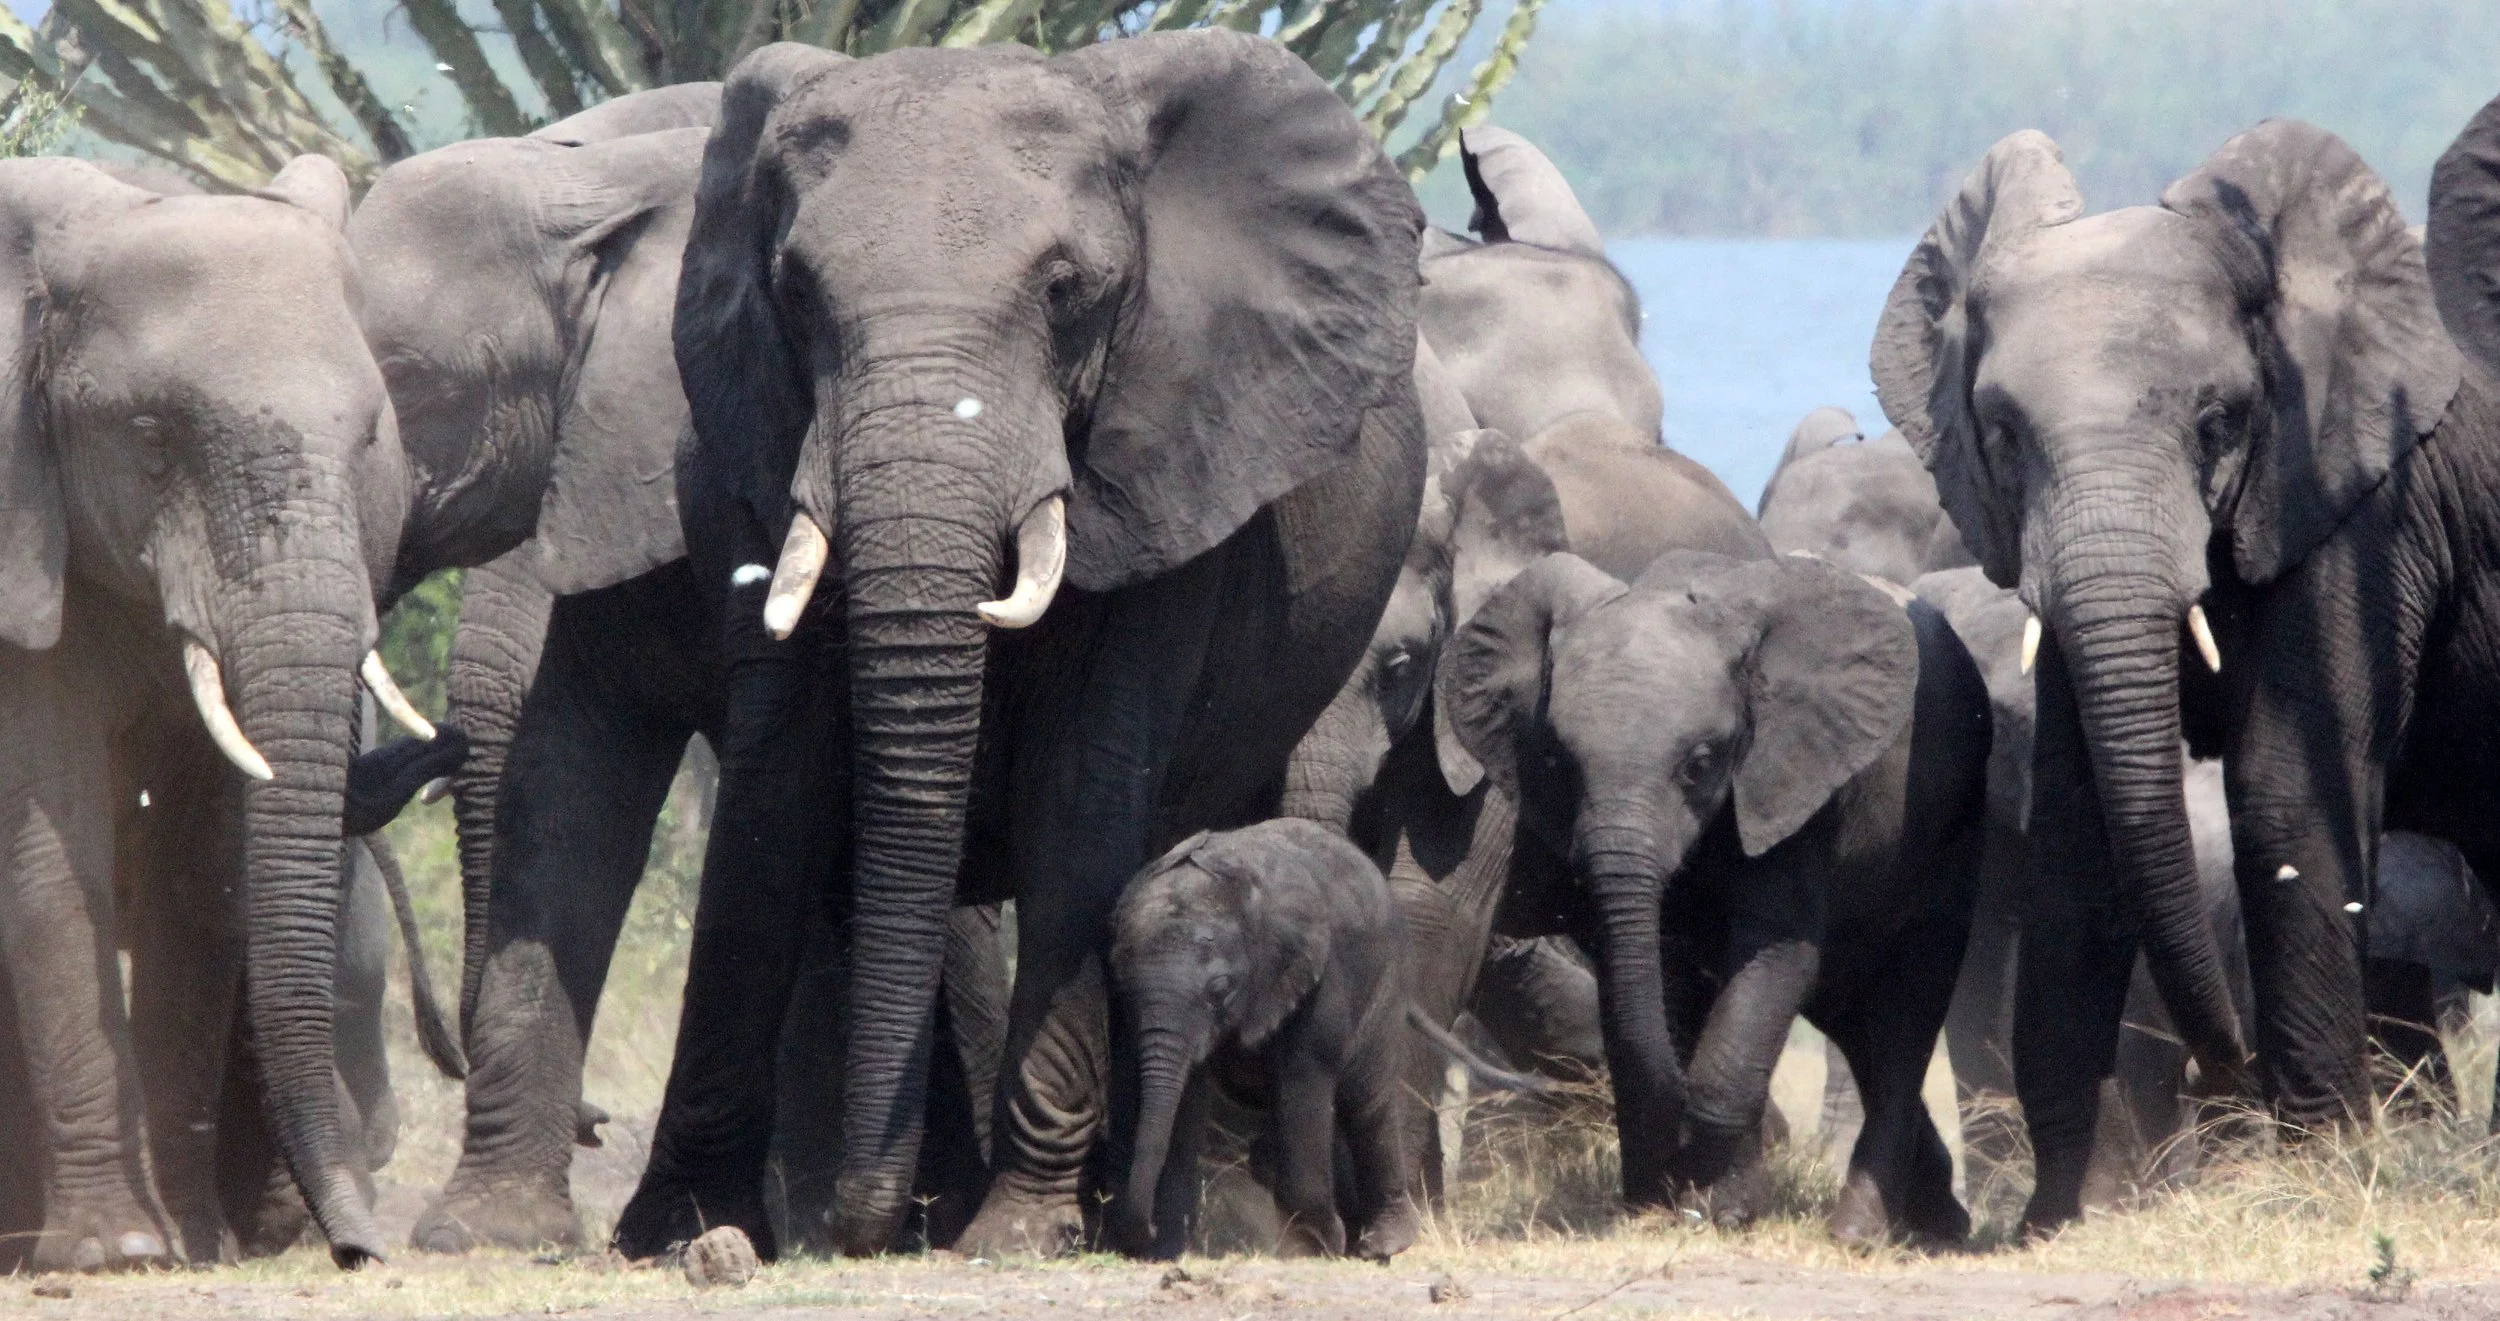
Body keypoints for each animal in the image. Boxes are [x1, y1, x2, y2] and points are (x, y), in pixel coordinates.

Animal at [0, 153, 423, 1270]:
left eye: (370, 438)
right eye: (150, 436)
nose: (359, 1251)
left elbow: (200, 877)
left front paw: (197, 1242)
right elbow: (53, 859)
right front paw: (116, 1253)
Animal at [1109, 819, 1418, 1261]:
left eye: (1220, 990)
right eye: (1124, 988)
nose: (1143, 1229)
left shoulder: (1319, 978)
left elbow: (1303, 1083)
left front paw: (1321, 1245)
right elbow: (1185, 1101)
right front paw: (1168, 1251)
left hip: (1387, 979)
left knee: (1367, 1100)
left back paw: (1380, 1245)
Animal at [1440, 550, 1989, 1243]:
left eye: (1700, 764)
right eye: (1559, 764)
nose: (1665, 1194)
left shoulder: (1794, 781)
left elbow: (1774, 958)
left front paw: (1724, 1211)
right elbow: (1661, 973)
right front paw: (1669, 1205)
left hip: (1950, 838)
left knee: (1903, 1017)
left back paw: (1858, 1233)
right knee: (1854, 1019)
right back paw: (1940, 1220)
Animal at [1871, 116, 2500, 1233]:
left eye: (2218, 423)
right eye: (2002, 436)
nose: (2229, 1068)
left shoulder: (2361, 506)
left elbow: (2284, 785)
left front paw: (2321, 1174)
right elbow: (2078, 824)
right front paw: (2059, 1217)